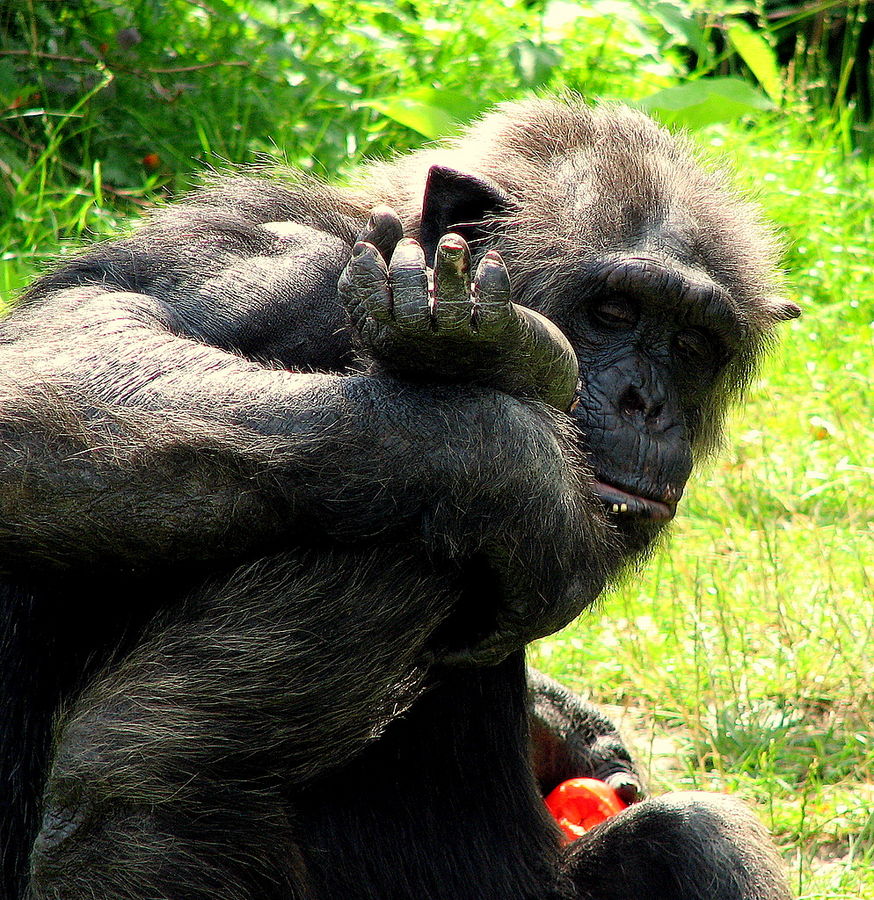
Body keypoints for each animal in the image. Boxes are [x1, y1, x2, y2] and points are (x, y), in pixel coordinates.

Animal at [0, 98, 796, 900]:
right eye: (613, 311)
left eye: (693, 346)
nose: (647, 403)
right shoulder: (273, 269)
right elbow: (64, 373)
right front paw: (520, 456)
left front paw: (569, 729)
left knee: (693, 834)